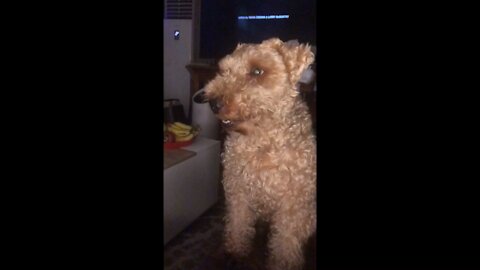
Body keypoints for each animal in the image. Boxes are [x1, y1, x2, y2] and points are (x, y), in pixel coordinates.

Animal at [204, 38, 316, 270]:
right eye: (224, 70)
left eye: (257, 71)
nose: (213, 103)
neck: (262, 140)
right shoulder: (237, 191)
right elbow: (238, 225)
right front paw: (235, 253)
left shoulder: (293, 204)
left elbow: (285, 243)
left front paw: (283, 263)